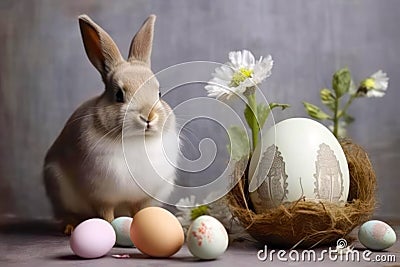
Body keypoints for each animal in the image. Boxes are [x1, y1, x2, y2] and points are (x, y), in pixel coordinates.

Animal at [43, 14, 178, 233]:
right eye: (118, 95)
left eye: (159, 93)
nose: (148, 116)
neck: (136, 139)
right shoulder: (102, 197)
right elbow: (106, 214)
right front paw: (110, 229)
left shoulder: (141, 198)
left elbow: (140, 211)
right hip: (58, 187)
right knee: (67, 214)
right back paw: (71, 226)